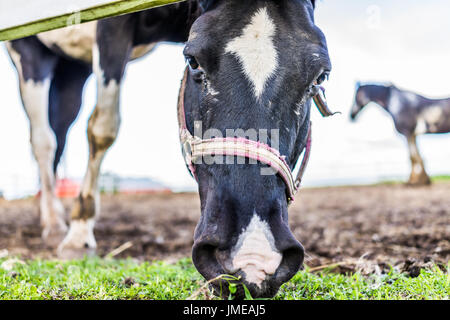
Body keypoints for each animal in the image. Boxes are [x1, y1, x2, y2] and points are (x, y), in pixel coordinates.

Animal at [6, 0, 330, 300]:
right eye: (193, 61)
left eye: (320, 76)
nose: (252, 257)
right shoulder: (110, 28)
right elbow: (102, 129)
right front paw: (79, 234)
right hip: (29, 52)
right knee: (44, 140)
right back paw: (53, 224)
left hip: (72, 70)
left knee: (59, 131)